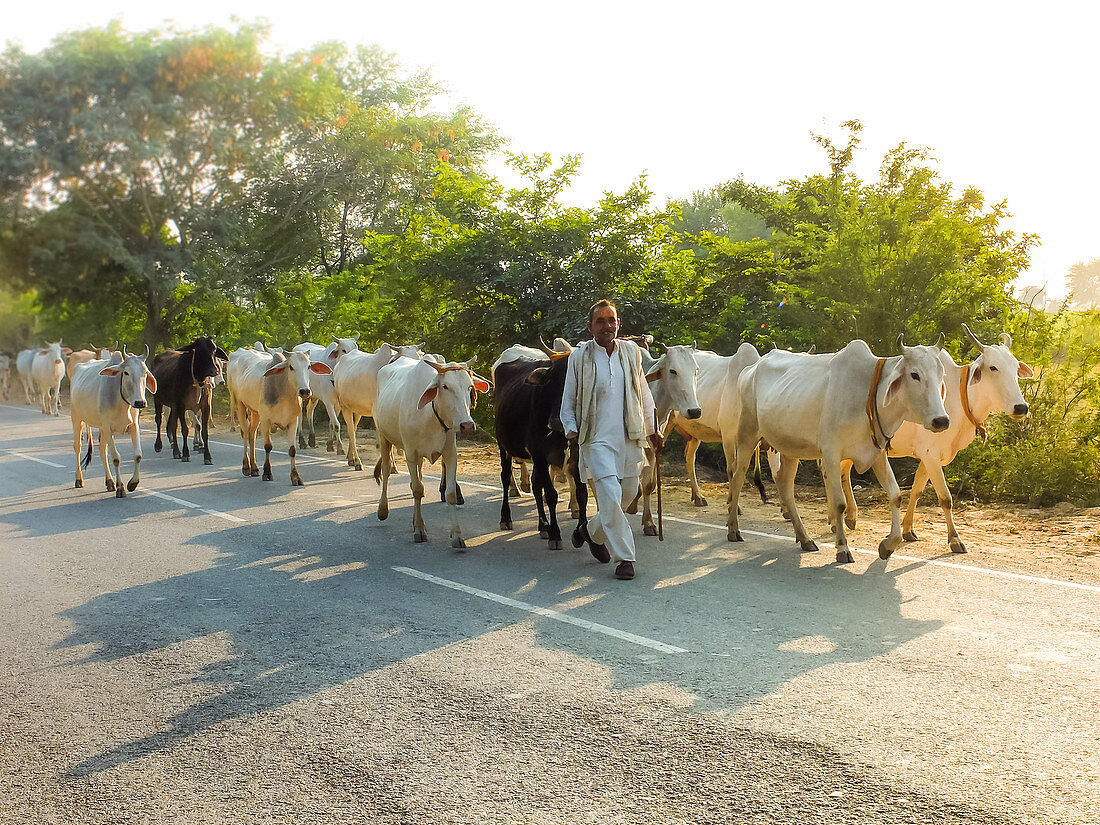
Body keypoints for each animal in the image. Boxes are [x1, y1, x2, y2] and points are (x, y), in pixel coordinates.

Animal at [151, 336, 228, 466]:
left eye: (214, 350)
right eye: (200, 350)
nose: (214, 371)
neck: (197, 380)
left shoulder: (206, 407)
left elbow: (204, 431)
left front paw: (207, 456)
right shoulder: (182, 407)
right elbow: (185, 430)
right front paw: (186, 454)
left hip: (173, 407)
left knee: (172, 425)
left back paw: (176, 451)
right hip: (158, 399)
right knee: (158, 420)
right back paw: (159, 445)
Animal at [371, 354, 488, 550]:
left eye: (469, 386)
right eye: (445, 386)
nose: (467, 425)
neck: (430, 414)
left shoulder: (450, 453)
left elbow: (449, 494)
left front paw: (456, 535)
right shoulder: (410, 453)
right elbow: (418, 490)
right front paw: (419, 530)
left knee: (415, 478)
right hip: (383, 436)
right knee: (386, 472)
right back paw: (383, 509)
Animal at [495, 354, 589, 550]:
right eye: (551, 380)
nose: (556, 421)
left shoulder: (577, 458)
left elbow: (582, 494)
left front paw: (578, 533)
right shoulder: (540, 455)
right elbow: (552, 495)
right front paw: (556, 534)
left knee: (536, 484)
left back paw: (543, 526)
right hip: (503, 446)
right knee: (506, 476)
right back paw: (506, 518)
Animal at [726, 338, 950, 567]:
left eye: (941, 374)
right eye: (915, 374)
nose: (941, 420)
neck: (867, 392)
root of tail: (750, 370)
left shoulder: (877, 452)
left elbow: (895, 495)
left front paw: (888, 545)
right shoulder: (831, 454)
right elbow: (840, 503)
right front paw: (843, 548)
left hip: (790, 448)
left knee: (784, 484)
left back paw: (805, 538)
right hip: (747, 435)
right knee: (738, 476)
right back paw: (733, 529)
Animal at [836, 325, 1034, 556]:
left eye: (1015, 367)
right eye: (993, 367)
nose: (1021, 407)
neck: (961, 398)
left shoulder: (928, 457)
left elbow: (917, 490)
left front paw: (908, 530)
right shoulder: (931, 455)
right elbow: (945, 498)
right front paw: (955, 539)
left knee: (843, 471)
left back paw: (848, 518)